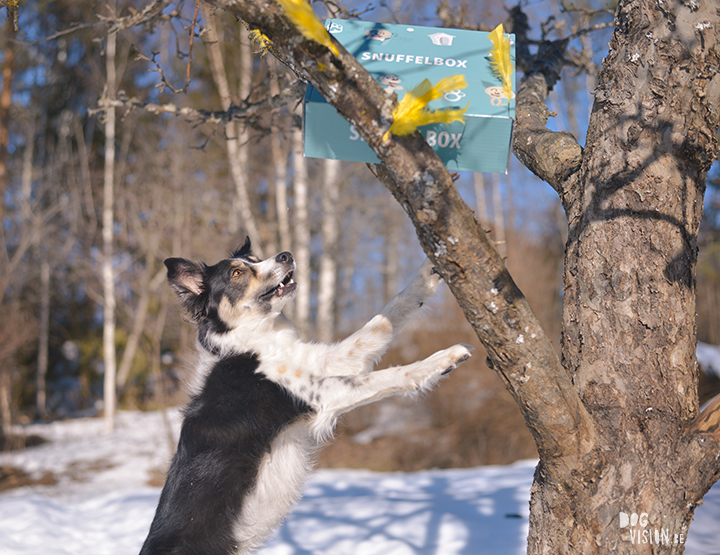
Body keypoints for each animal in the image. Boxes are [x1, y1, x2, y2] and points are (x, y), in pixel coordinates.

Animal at [140, 238, 472, 555]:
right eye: (237, 273)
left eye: (255, 258)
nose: (286, 255)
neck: (253, 342)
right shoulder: (323, 394)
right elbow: (388, 375)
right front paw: (444, 358)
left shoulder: (326, 364)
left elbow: (383, 317)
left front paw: (431, 266)